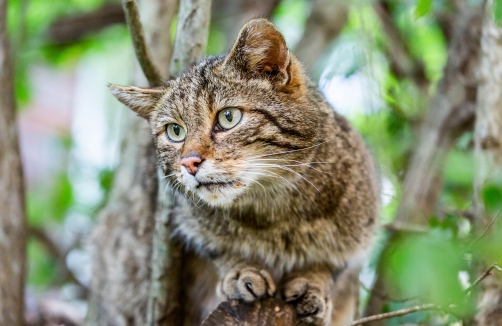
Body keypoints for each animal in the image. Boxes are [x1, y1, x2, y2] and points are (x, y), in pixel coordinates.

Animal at [109, 19, 376, 326]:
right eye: (175, 131)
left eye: (228, 117)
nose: (189, 163)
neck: (272, 211)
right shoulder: (187, 221)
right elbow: (219, 249)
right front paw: (241, 270)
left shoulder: (358, 232)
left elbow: (328, 263)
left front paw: (313, 283)